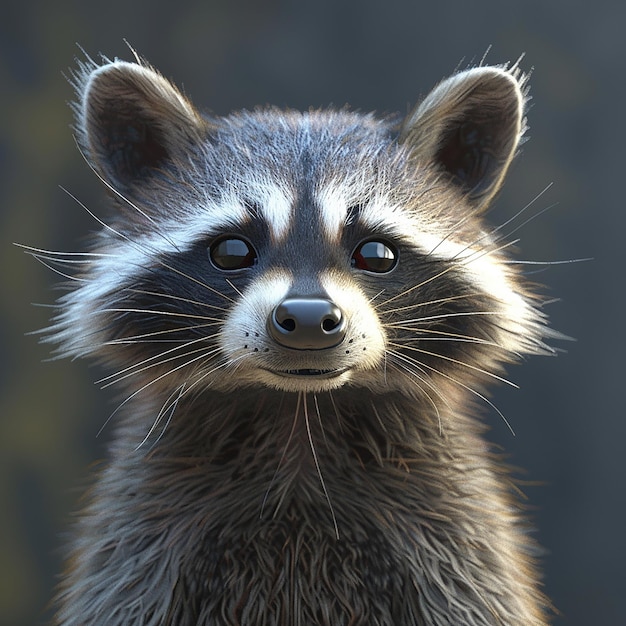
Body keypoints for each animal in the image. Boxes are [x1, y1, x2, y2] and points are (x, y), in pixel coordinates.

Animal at [35, 54, 556, 624]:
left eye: (376, 253)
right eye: (232, 250)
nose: (308, 319)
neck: (299, 418)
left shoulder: (453, 533)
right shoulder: (142, 536)